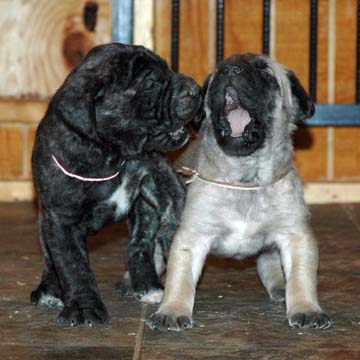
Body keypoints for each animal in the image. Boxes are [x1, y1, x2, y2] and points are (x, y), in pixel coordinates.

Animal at [31, 43, 201, 326]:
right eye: (150, 83)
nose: (196, 89)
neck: (111, 153)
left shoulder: (157, 173)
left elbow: (173, 208)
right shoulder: (61, 218)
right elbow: (72, 263)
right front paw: (84, 307)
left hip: (143, 212)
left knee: (139, 244)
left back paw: (148, 285)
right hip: (44, 223)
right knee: (49, 257)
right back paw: (48, 289)